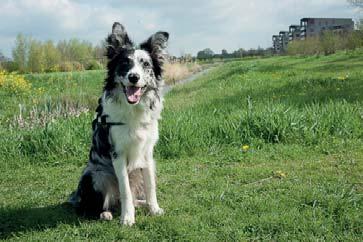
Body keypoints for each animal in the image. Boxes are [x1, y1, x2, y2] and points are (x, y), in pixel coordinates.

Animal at [69, 21, 169, 226]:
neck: (133, 110)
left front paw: (154, 209)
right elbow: (125, 191)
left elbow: (151, 186)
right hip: (96, 175)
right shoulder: (118, 154)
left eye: (146, 64)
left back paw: (142, 204)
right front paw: (128, 218)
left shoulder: (147, 154)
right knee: (89, 208)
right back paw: (105, 213)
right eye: (125, 63)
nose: (133, 77)